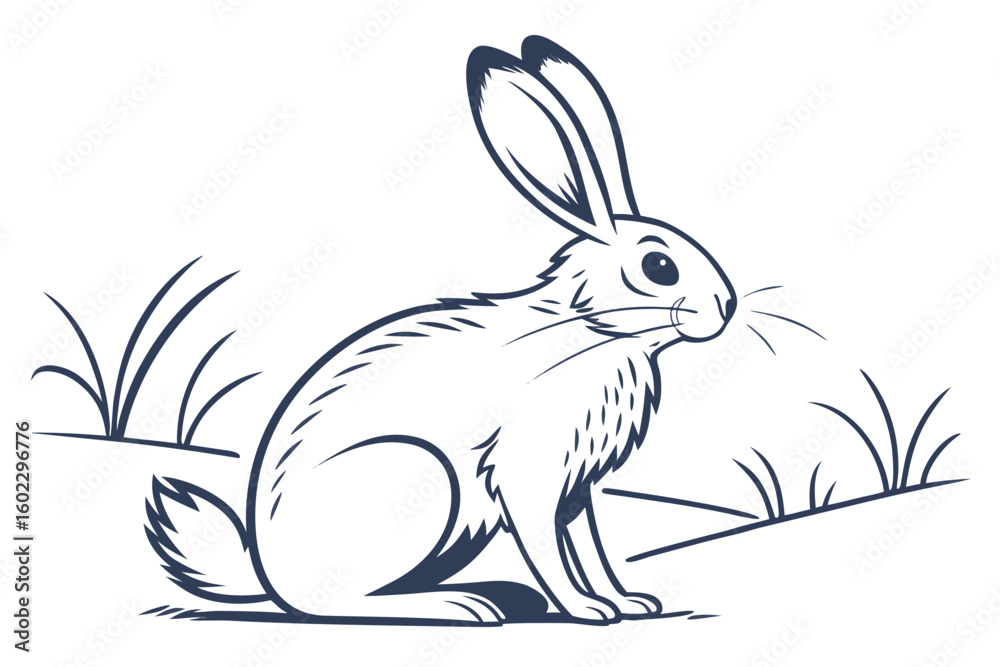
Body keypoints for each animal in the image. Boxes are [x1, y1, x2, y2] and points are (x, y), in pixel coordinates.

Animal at [146, 35, 736, 626]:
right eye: (659, 267)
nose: (728, 306)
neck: (588, 328)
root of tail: (269, 578)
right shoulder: (529, 474)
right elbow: (547, 549)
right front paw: (586, 611)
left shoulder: (577, 487)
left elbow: (589, 545)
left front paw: (628, 603)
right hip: (416, 478)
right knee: (338, 602)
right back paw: (462, 605)